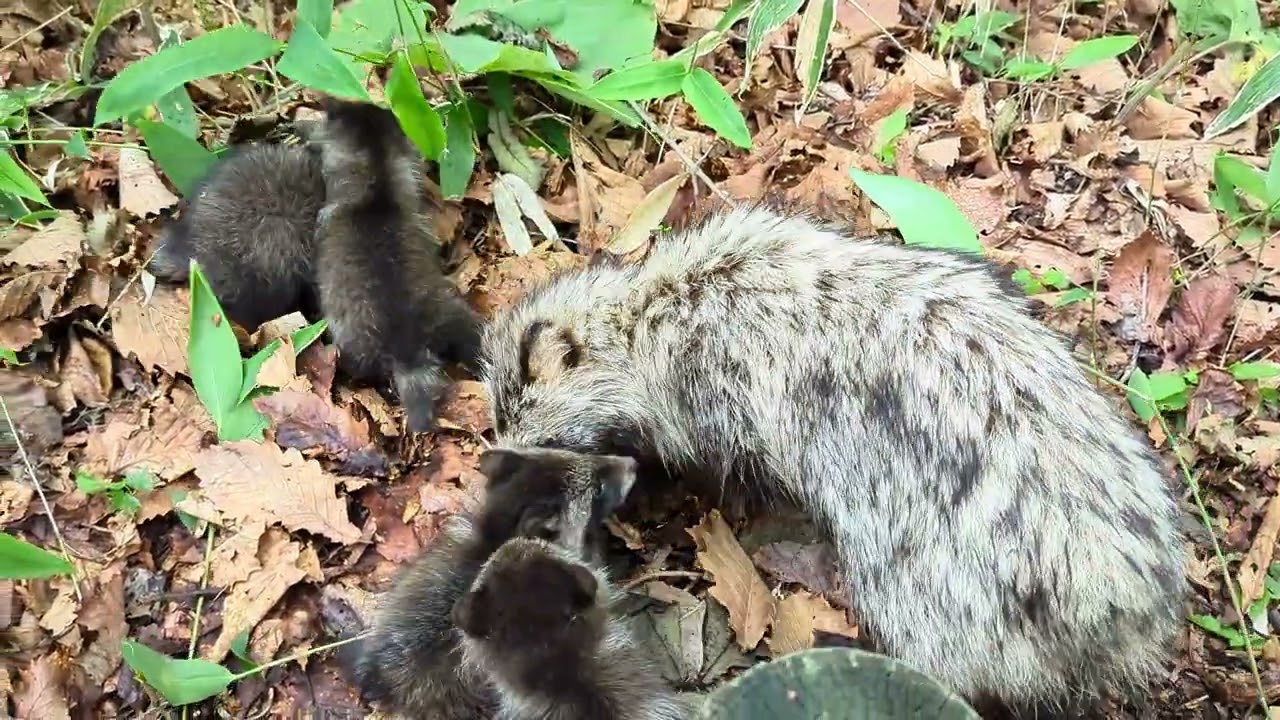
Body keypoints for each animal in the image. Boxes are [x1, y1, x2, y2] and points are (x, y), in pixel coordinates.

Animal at [479, 204, 1188, 711]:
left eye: (519, 423)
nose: (492, 468)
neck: (646, 316)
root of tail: (1115, 598)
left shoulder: (716, 401)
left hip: (935, 589)